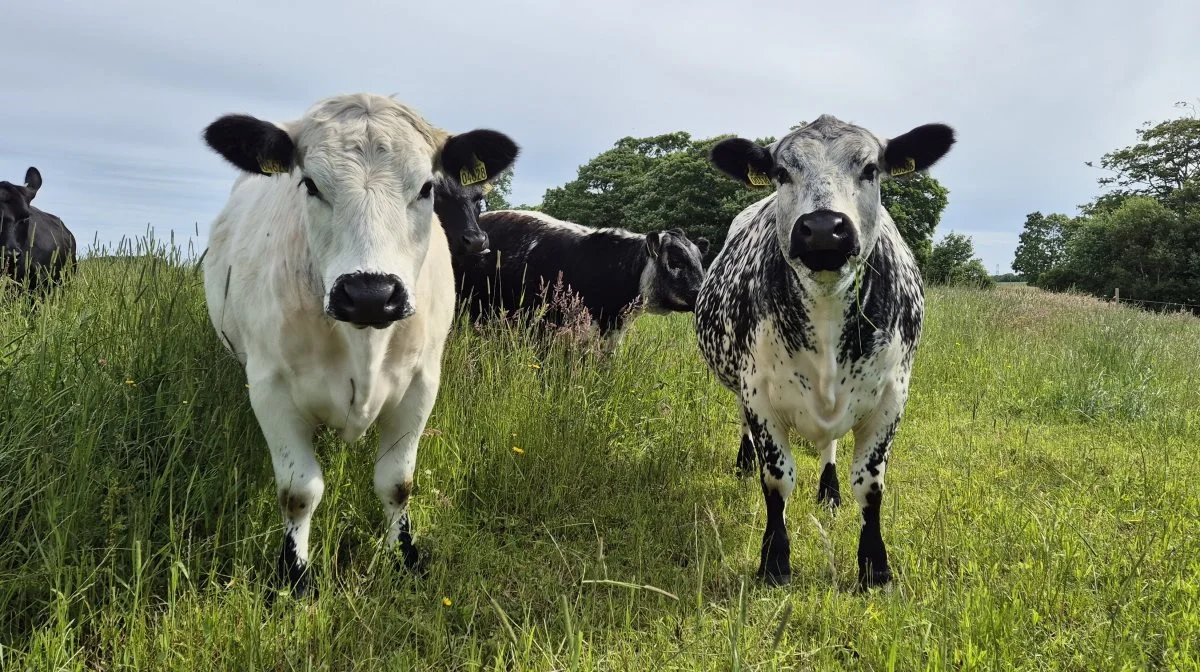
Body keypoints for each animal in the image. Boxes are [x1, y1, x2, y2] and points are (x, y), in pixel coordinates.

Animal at [200, 91, 516, 595]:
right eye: (309, 184)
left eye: (426, 188)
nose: (371, 293)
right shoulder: (270, 388)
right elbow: (299, 491)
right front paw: (295, 574)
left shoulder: (421, 385)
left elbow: (396, 482)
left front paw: (404, 556)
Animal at [696, 114, 955, 588]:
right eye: (782, 172)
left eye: (871, 168)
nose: (821, 228)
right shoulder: (759, 393)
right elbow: (777, 480)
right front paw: (775, 561)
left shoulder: (891, 397)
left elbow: (869, 485)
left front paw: (875, 567)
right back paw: (743, 463)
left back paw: (829, 491)